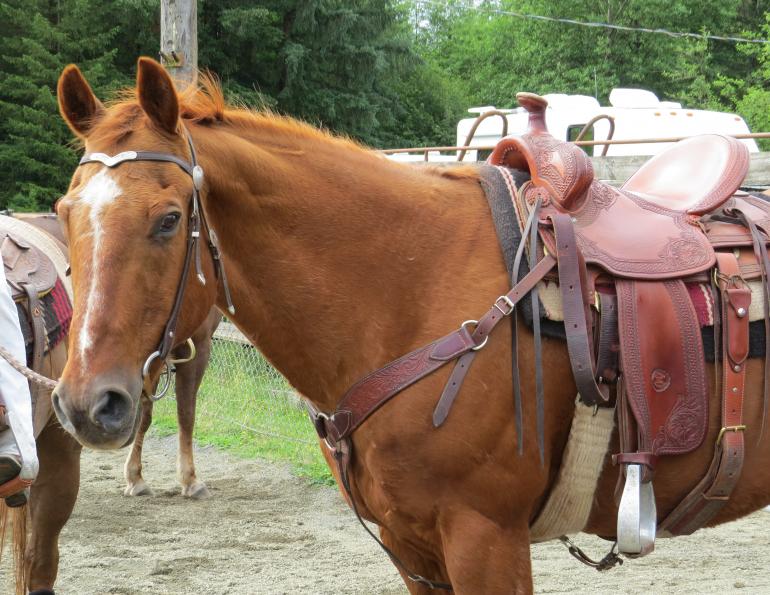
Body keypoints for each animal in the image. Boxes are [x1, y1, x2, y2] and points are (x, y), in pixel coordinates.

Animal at [51, 57, 770, 594]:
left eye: (169, 218)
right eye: (62, 212)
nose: (88, 403)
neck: (409, 295)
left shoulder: (486, 539)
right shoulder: (412, 550)